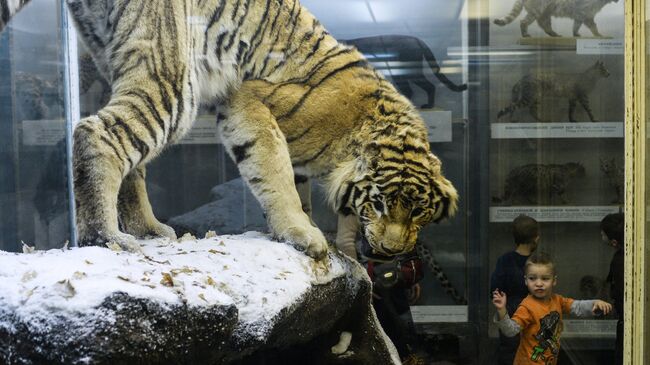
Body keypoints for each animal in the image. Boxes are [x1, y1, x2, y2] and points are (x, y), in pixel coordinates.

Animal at [1, 1, 456, 260]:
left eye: (418, 211)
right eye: (378, 205)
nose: (392, 251)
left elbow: (297, 185)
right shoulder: (246, 99)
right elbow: (275, 173)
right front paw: (304, 235)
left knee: (133, 158)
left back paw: (149, 230)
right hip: (172, 78)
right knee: (97, 132)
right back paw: (106, 238)